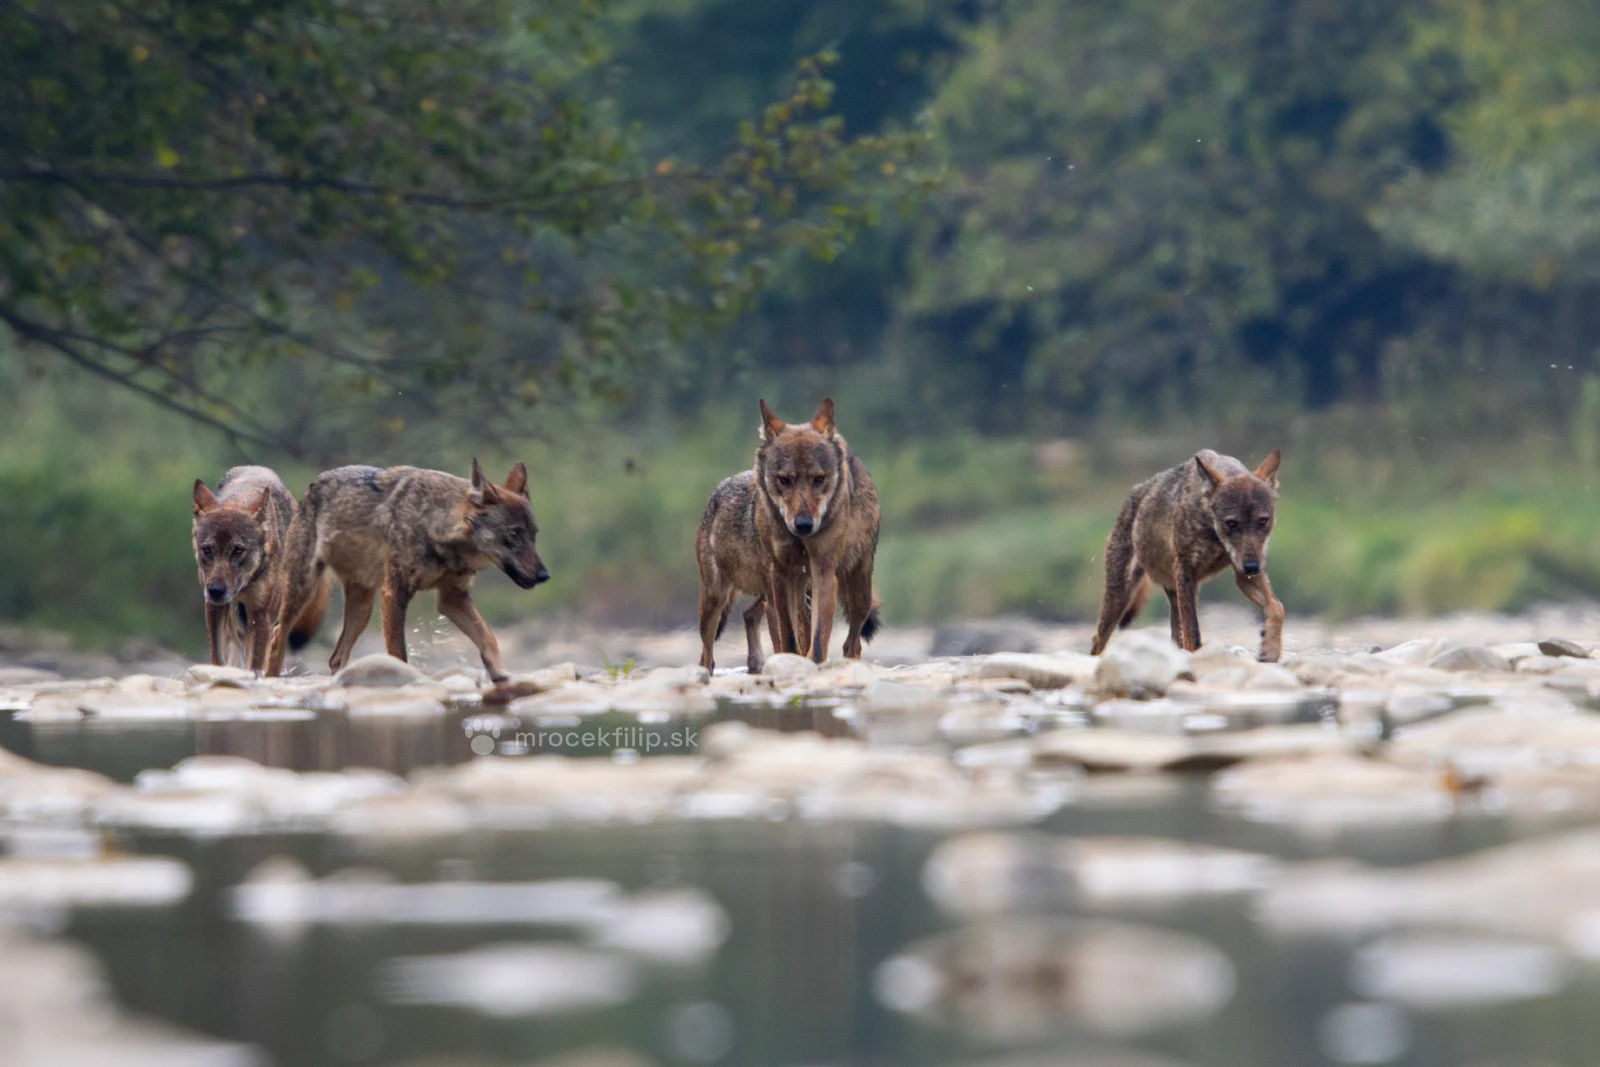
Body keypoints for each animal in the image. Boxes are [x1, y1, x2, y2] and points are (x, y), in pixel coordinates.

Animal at [192, 465, 328, 671]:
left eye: (238, 550)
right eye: (207, 550)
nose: (216, 590)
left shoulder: (260, 616)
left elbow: (254, 663)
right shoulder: (214, 608)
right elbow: (218, 658)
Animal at [265, 460, 548, 681]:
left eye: (534, 535)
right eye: (515, 534)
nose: (544, 576)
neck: (436, 524)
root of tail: (311, 486)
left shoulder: (452, 599)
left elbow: (489, 639)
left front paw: (501, 676)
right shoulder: (394, 593)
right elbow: (399, 654)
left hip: (362, 609)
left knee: (337, 657)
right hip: (303, 591)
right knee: (277, 635)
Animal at [751, 398, 882, 664]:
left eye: (818, 479)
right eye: (785, 480)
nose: (803, 525)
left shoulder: (824, 572)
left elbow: (820, 637)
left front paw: (814, 662)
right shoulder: (781, 575)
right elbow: (789, 635)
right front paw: (793, 660)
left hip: (859, 592)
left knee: (852, 642)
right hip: (802, 592)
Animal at [1090, 449, 1284, 662]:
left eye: (1263, 521)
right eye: (1231, 523)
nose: (1252, 567)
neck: (1212, 531)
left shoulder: (1243, 575)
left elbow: (1277, 607)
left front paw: (1270, 651)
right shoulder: (1185, 571)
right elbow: (1194, 634)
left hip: (1175, 595)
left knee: (1176, 637)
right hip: (1119, 598)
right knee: (1098, 640)